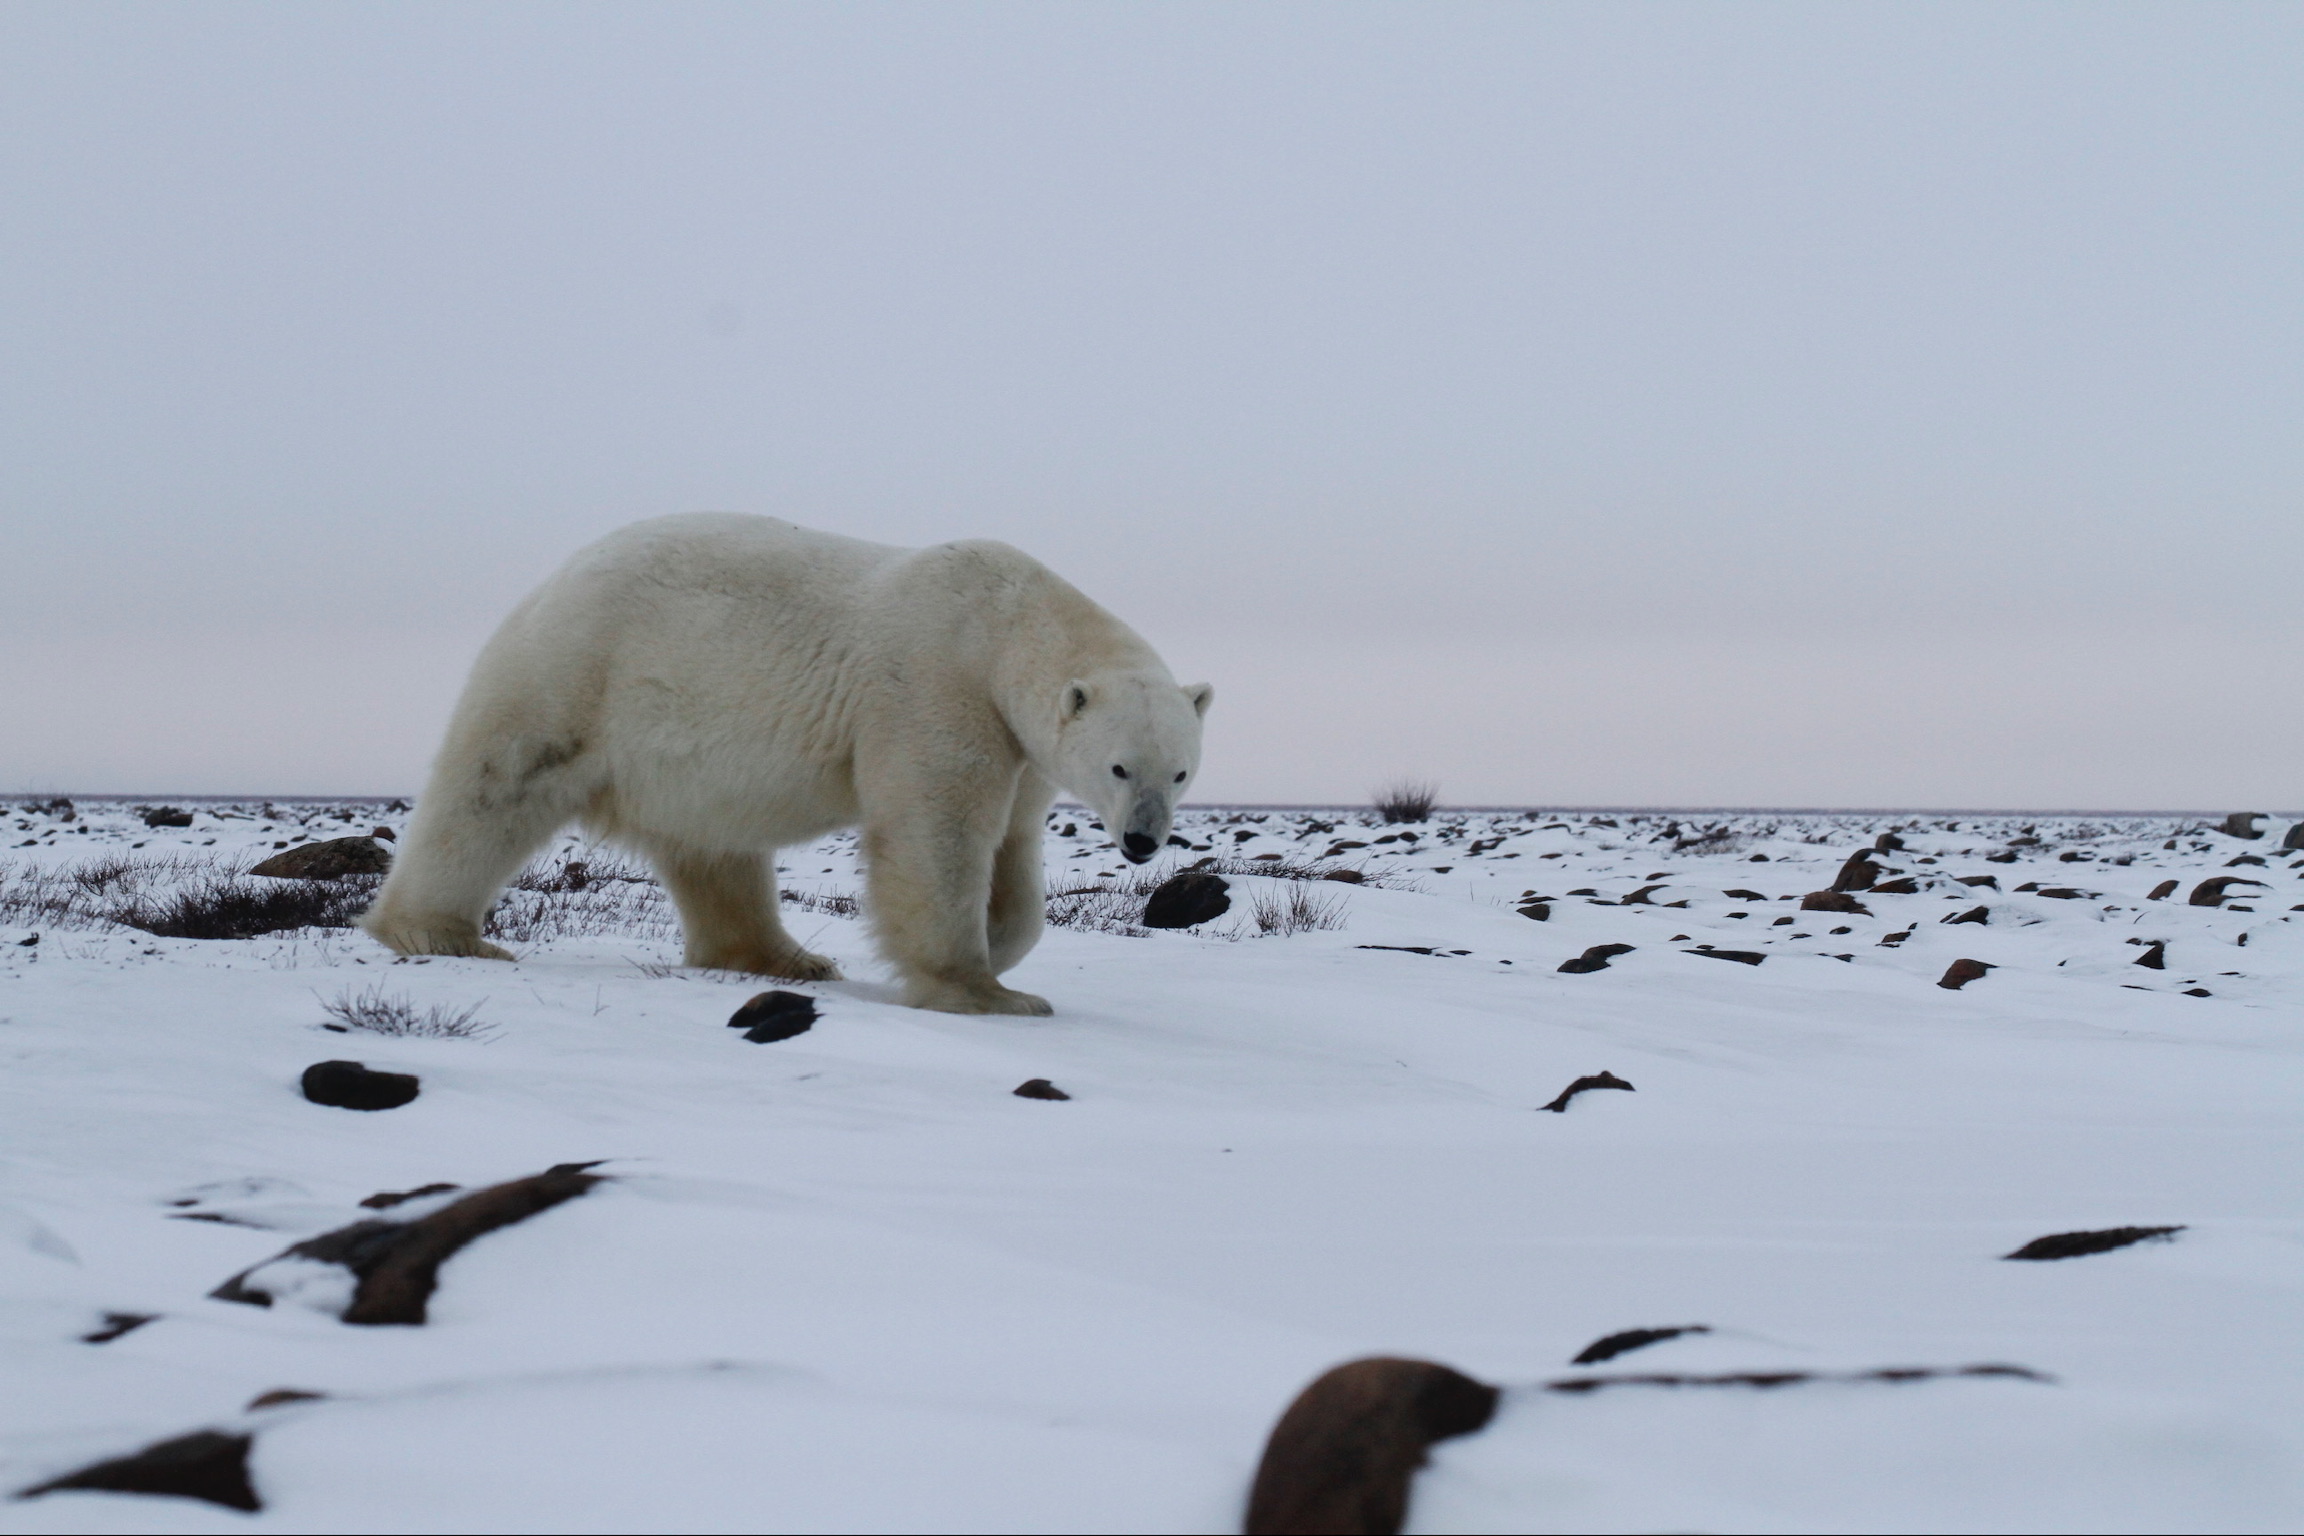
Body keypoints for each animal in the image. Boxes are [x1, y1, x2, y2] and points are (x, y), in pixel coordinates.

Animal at [360, 513, 1212, 1015]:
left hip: (676, 752)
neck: (1003, 624)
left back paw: (785, 958)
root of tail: (550, 580)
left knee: (716, 852)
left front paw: (1000, 947)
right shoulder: (932, 686)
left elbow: (1013, 847)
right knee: (494, 786)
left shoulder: (1021, 749)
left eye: (1180, 772)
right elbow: (936, 830)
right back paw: (439, 933)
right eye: (1121, 769)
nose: (1143, 841)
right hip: (574, 674)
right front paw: (981, 989)